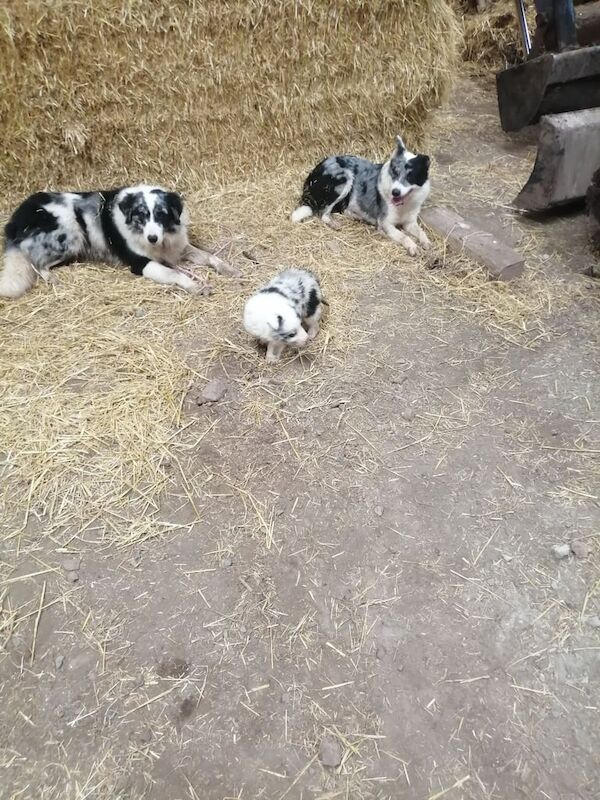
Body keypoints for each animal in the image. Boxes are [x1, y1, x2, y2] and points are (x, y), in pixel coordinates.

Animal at [0, 184, 239, 300]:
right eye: (141, 216)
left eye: (161, 215)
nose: (152, 238)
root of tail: (15, 219)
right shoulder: (140, 264)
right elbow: (174, 273)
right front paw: (194, 286)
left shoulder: (178, 247)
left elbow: (209, 256)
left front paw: (228, 269)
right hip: (71, 236)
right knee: (37, 264)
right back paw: (51, 278)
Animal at [292, 134, 428, 253]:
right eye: (394, 172)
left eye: (410, 176)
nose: (395, 192)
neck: (405, 204)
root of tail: (312, 174)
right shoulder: (386, 223)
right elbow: (404, 236)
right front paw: (413, 247)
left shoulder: (410, 222)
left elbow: (421, 232)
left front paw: (426, 243)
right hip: (344, 179)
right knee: (323, 213)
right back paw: (335, 224)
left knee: (344, 210)